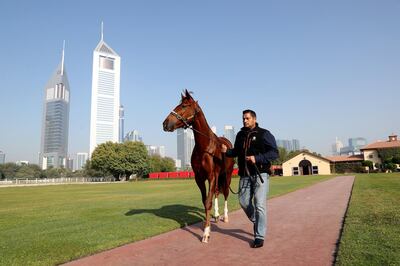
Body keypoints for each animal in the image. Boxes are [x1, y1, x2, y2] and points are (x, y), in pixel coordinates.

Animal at [164, 90, 236, 243]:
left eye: (184, 106)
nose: (165, 123)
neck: (205, 147)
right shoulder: (199, 178)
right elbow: (205, 201)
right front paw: (207, 224)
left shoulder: (211, 176)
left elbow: (208, 202)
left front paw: (206, 233)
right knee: (216, 192)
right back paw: (216, 215)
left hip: (227, 175)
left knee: (226, 193)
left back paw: (225, 216)